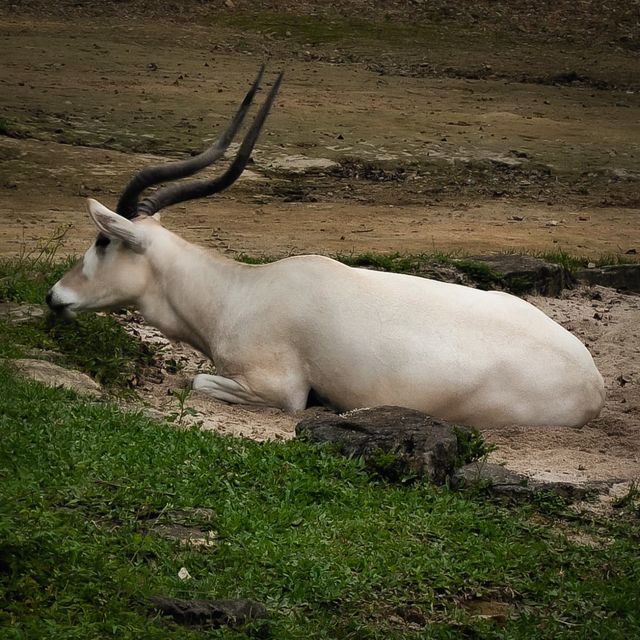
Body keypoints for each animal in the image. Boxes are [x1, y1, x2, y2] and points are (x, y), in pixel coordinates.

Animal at [46, 67, 604, 428]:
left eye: (102, 239)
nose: (54, 298)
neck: (240, 292)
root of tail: (594, 383)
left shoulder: (277, 388)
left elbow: (197, 383)